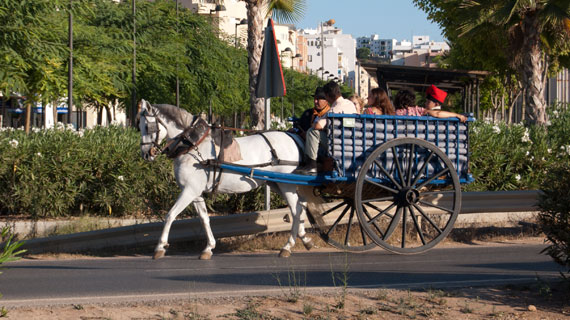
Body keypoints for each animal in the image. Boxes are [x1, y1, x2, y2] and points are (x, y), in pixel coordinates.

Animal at [138, 100, 316, 260]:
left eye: (147, 126)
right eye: (139, 126)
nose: (146, 154)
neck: (193, 146)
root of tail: (294, 136)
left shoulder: (190, 190)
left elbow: (170, 215)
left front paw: (160, 247)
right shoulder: (195, 192)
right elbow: (204, 218)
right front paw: (209, 247)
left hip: (286, 184)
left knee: (296, 210)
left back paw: (288, 246)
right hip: (277, 183)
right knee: (299, 207)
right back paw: (305, 239)